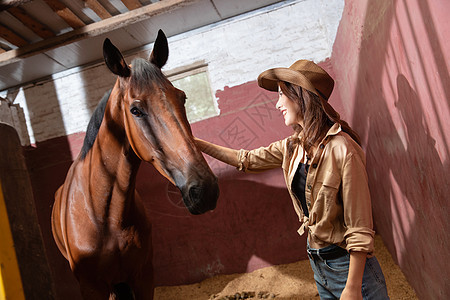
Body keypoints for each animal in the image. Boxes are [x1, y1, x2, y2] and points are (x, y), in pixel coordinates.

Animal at [51, 29, 220, 298]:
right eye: (135, 110)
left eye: (182, 98)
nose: (205, 190)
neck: (105, 215)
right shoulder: (92, 287)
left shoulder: (143, 277)